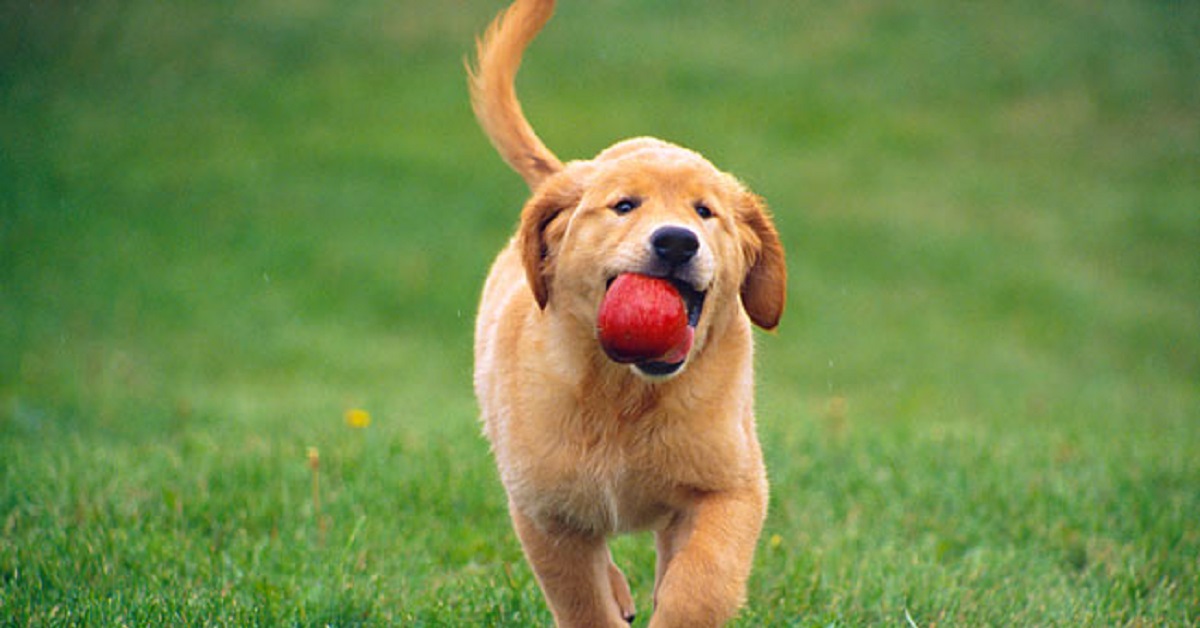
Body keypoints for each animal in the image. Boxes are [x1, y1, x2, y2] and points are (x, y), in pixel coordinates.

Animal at [468, 1, 787, 628]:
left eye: (705, 212)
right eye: (623, 206)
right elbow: (582, 598)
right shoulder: (545, 510)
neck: (625, 394)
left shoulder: (731, 485)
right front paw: (608, 600)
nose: (676, 242)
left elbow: (702, 581)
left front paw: (678, 603)